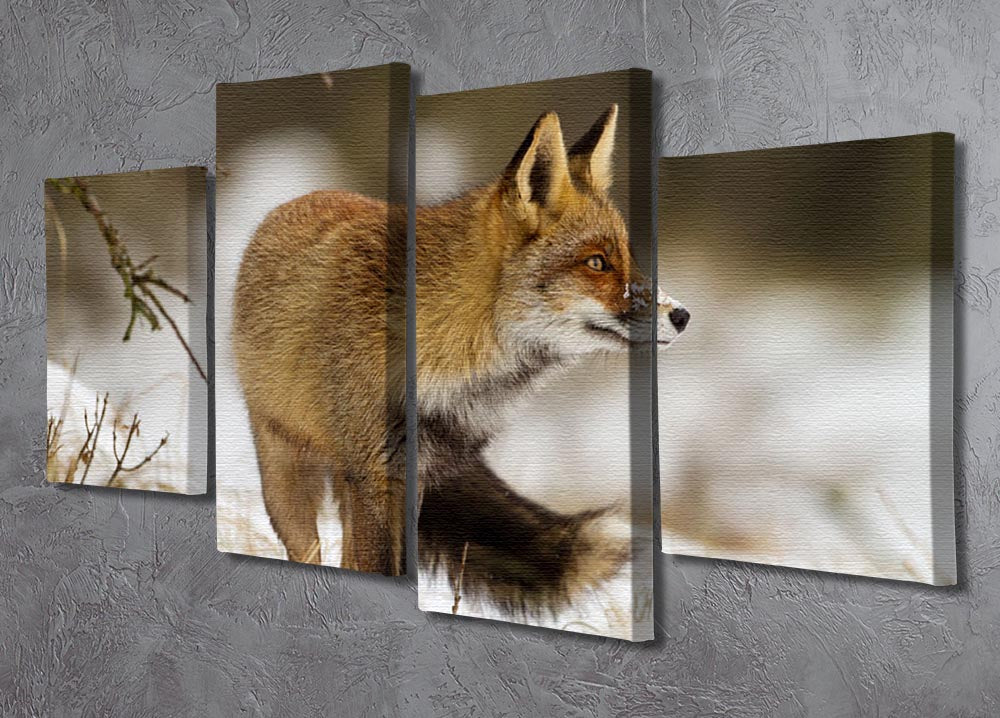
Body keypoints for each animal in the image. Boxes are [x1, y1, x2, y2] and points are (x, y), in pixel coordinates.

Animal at [232, 105, 689, 609]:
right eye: (596, 263)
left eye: (627, 257)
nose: (682, 315)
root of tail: (296, 200)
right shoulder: (375, 476)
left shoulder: (412, 478)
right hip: (286, 474)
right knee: (309, 549)